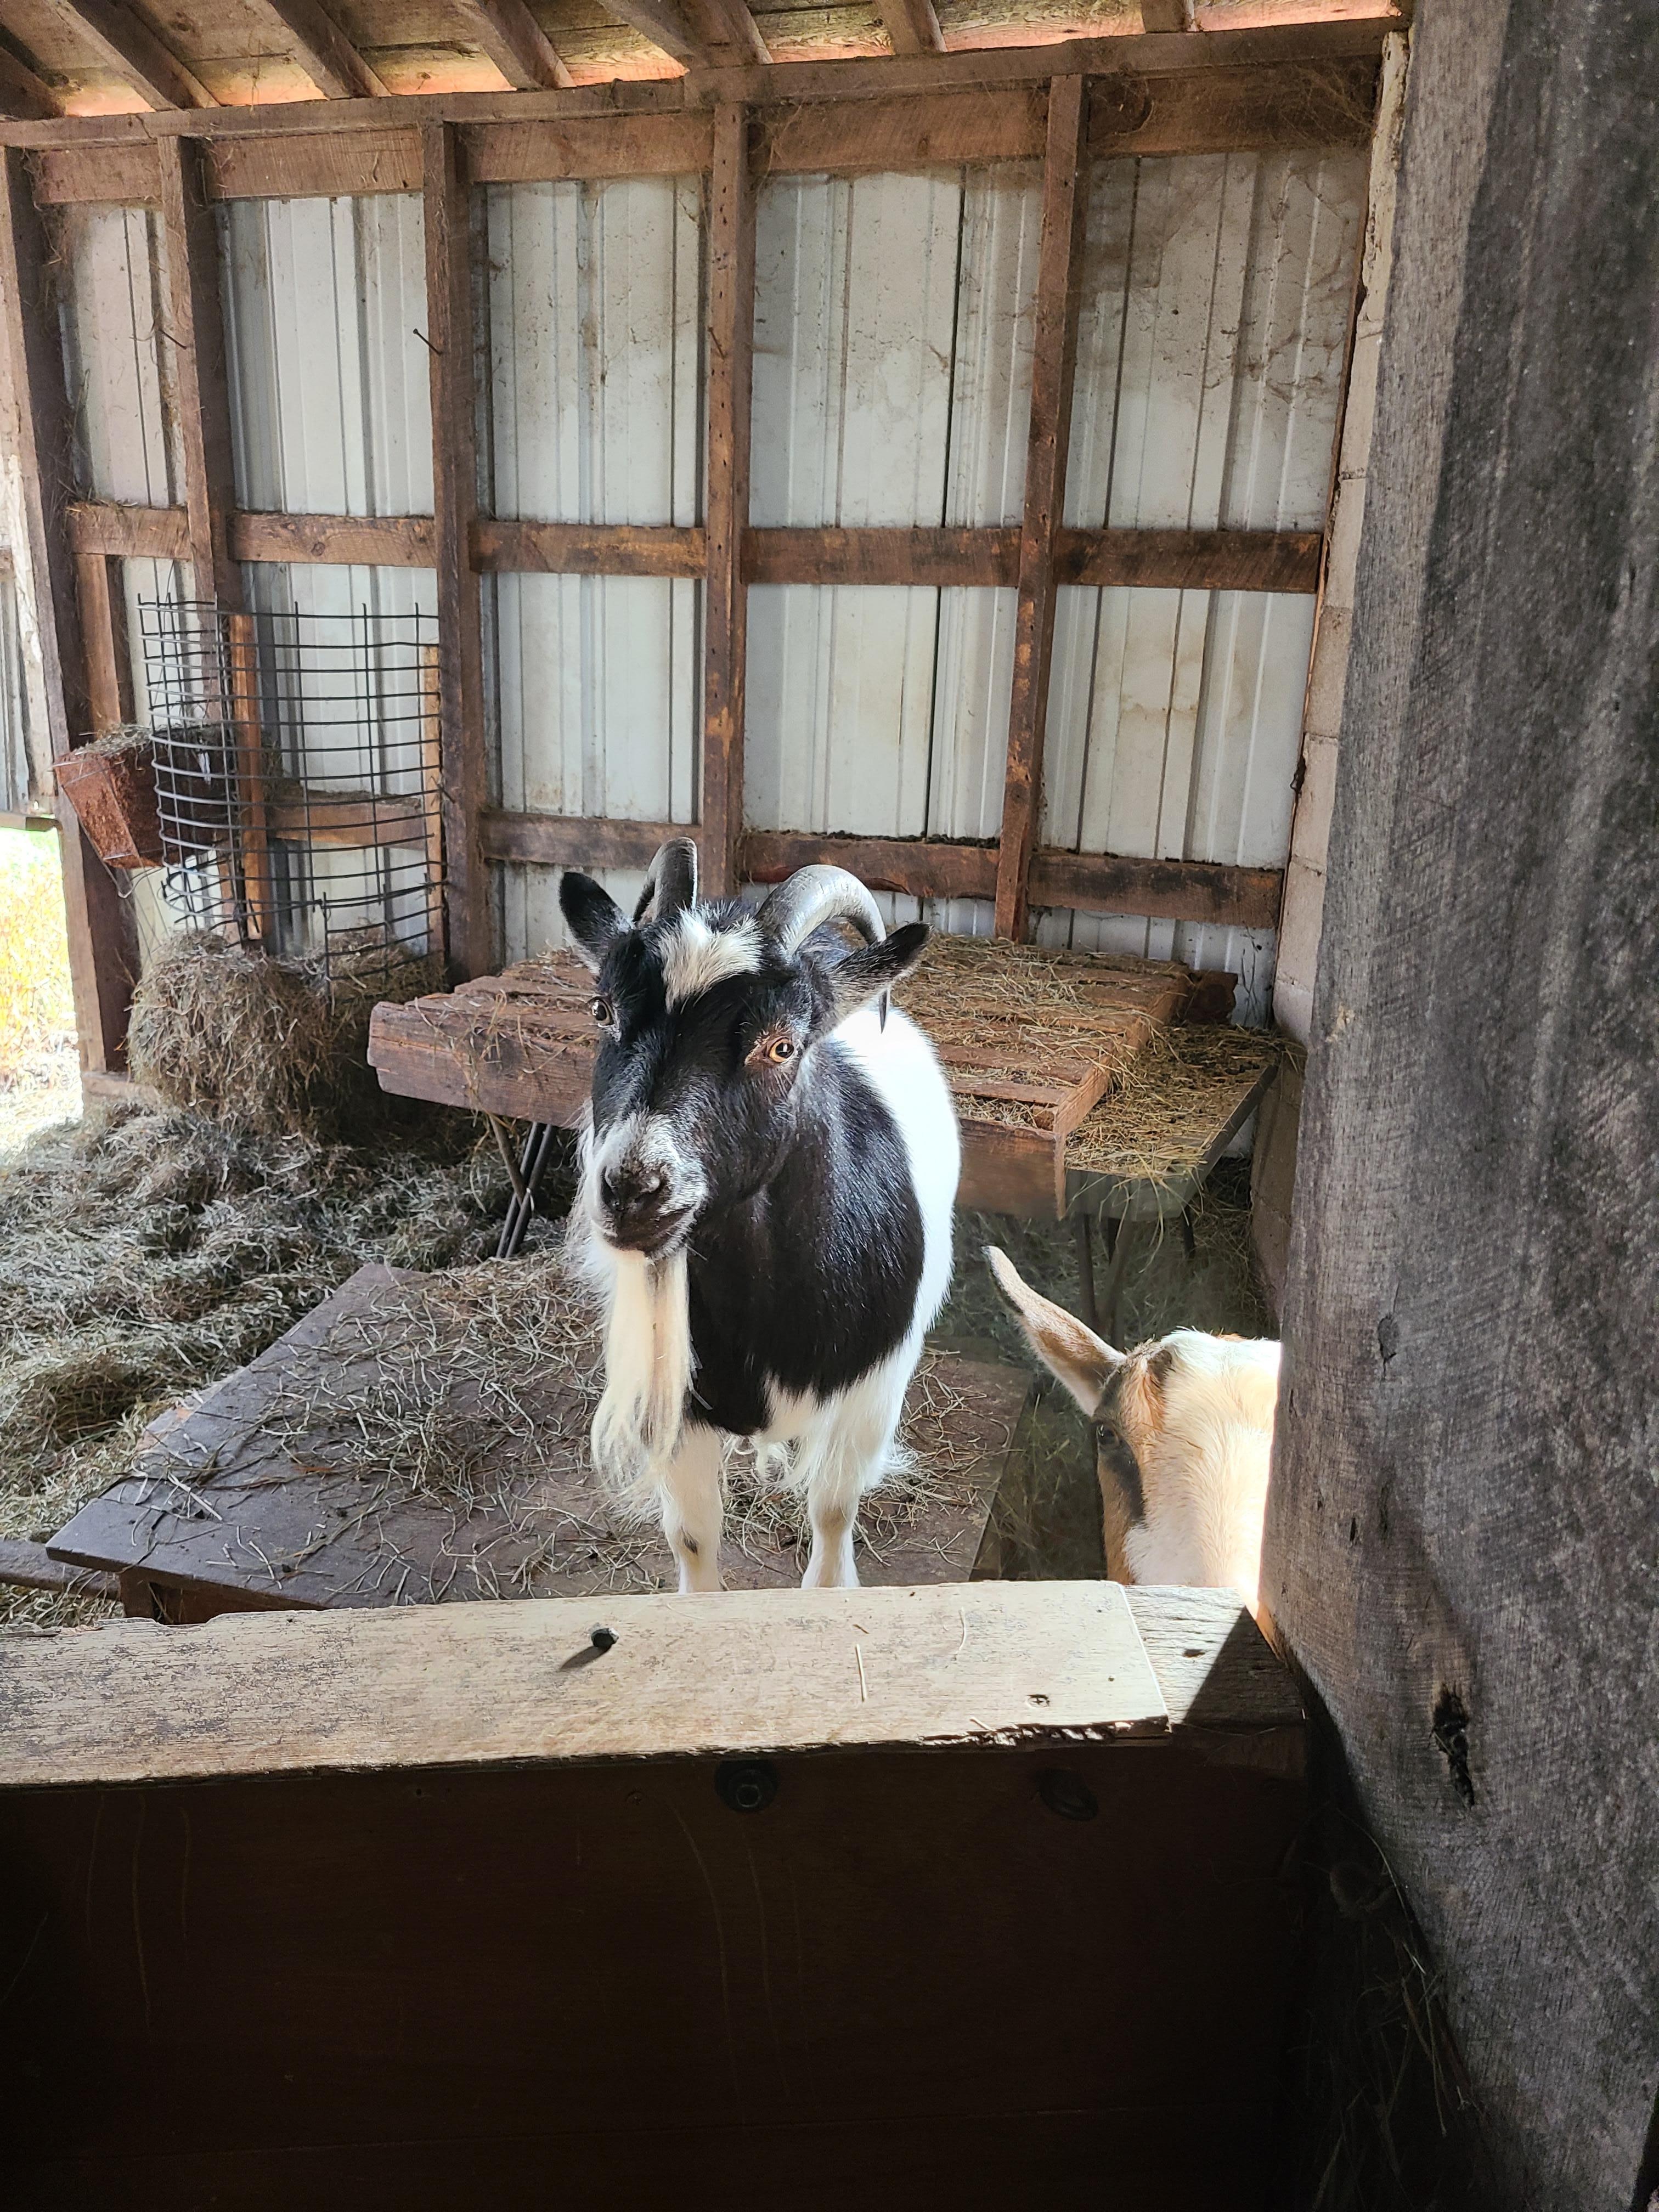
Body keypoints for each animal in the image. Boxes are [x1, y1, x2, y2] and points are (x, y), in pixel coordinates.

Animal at [559, 839, 960, 1592]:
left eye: (782, 1045)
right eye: (601, 1010)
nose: (633, 1189)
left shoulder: (873, 1391)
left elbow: (832, 1512)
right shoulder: (679, 1404)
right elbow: (692, 1537)